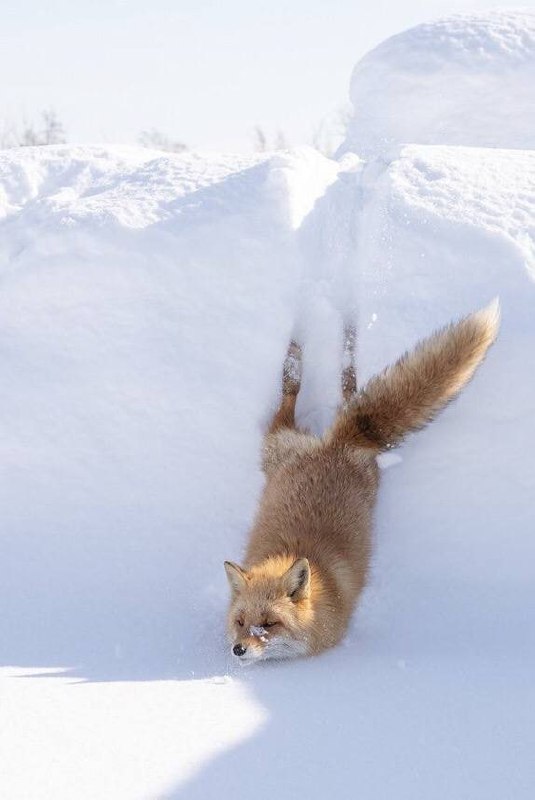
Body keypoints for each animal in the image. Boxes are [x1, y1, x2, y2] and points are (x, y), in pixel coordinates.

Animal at [224, 300, 500, 664]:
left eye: (269, 624)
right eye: (240, 622)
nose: (238, 649)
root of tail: (341, 444)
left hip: (277, 448)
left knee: (307, 397)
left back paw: (305, 353)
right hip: (279, 451)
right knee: (340, 390)